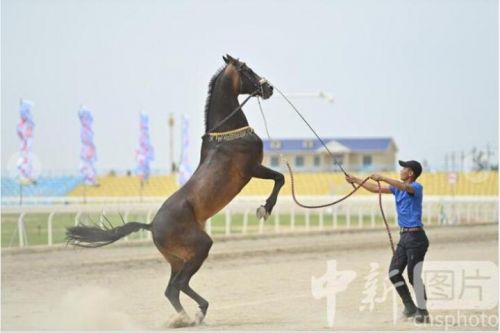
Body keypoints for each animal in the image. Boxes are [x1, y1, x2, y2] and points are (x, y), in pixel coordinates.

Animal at [66, 54, 286, 326]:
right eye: (246, 69)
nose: (269, 88)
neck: (228, 135)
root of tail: (152, 225)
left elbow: (280, 178)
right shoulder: (252, 168)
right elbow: (280, 178)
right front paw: (265, 209)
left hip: (177, 258)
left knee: (172, 289)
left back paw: (185, 317)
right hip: (200, 247)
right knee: (179, 285)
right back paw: (197, 313)